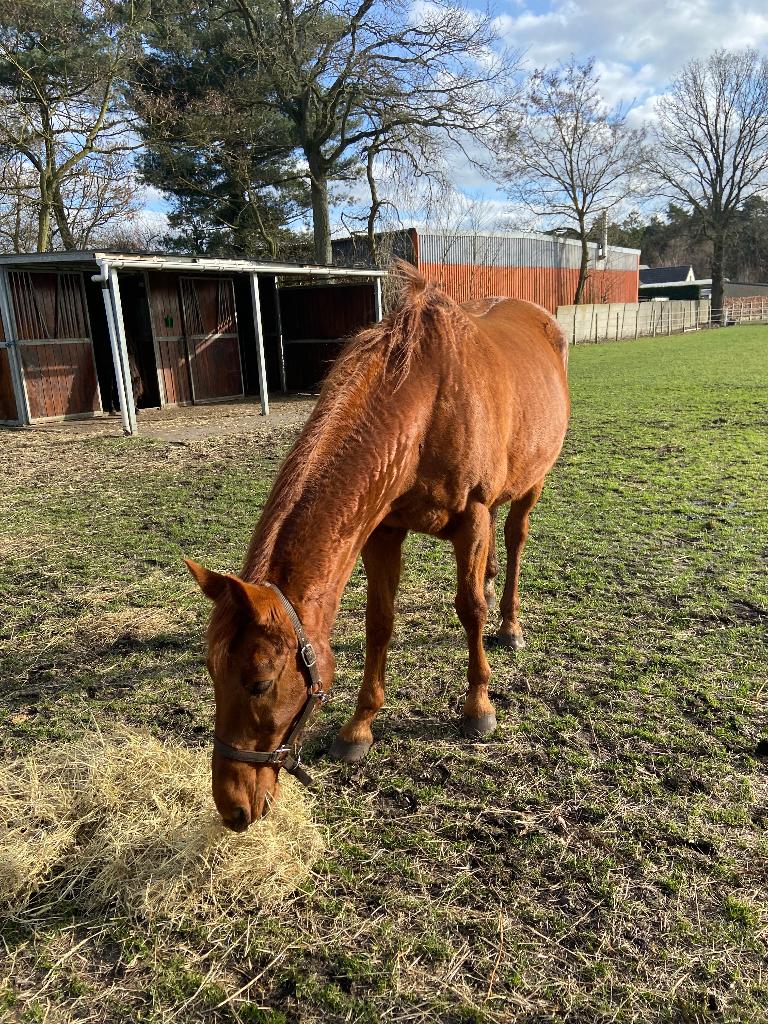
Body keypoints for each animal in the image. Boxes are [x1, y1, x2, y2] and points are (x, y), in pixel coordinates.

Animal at [186, 263, 570, 830]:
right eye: (212, 671)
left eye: (259, 682)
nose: (233, 807)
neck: (425, 408)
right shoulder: (383, 532)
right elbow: (379, 623)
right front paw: (358, 728)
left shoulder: (472, 518)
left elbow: (469, 610)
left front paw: (478, 707)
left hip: (531, 485)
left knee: (515, 539)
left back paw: (510, 624)